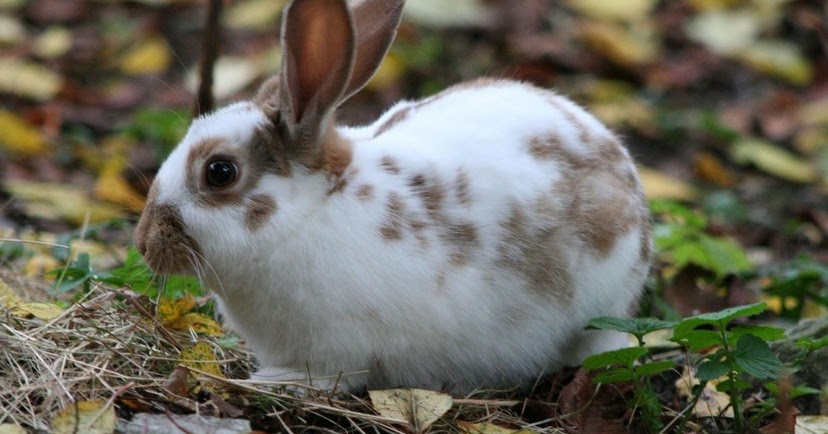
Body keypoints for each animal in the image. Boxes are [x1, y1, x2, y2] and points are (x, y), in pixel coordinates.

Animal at [134, 0, 652, 394]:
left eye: (219, 172)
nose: (143, 242)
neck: (310, 214)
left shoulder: (339, 351)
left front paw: (273, 381)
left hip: (601, 310)